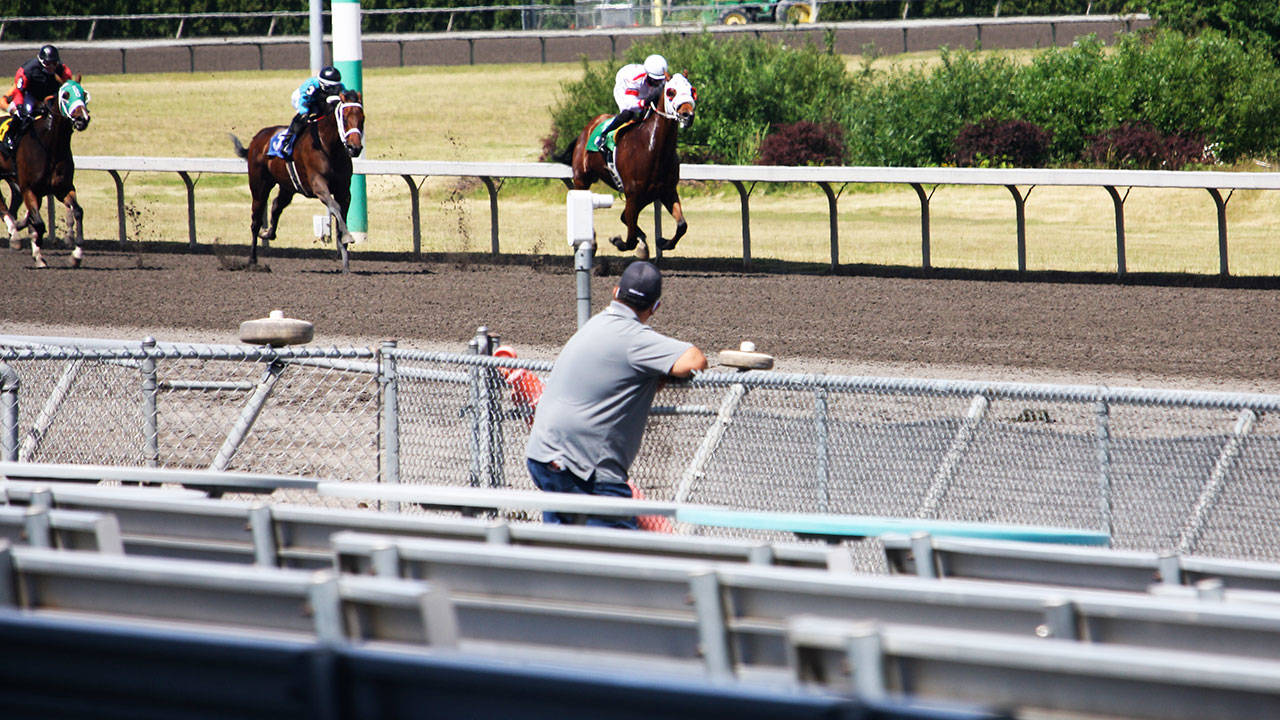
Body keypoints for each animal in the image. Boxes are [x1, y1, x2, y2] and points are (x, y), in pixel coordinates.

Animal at [0, 78, 90, 267]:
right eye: (65, 95)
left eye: (83, 94)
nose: (82, 119)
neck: (50, 145)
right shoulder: (29, 189)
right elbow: (39, 224)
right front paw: (38, 254)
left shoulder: (62, 188)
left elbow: (78, 211)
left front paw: (76, 255)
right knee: (2, 205)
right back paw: (14, 234)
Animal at [227, 87, 360, 271]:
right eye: (345, 118)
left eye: (362, 118)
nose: (355, 148)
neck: (329, 147)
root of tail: (257, 139)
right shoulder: (318, 185)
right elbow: (334, 206)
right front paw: (348, 237)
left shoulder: (344, 192)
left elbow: (340, 215)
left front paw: (345, 263)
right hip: (259, 185)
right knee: (255, 220)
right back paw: (252, 260)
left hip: (287, 186)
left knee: (277, 205)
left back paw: (268, 233)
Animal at [565, 72, 696, 257]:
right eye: (671, 92)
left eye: (692, 90)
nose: (687, 115)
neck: (652, 148)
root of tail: (588, 127)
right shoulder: (633, 195)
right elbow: (630, 239)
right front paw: (618, 241)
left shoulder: (667, 191)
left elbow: (682, 225)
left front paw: (662, 242)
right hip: (581, 179)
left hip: (645, 196)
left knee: (624, 217)